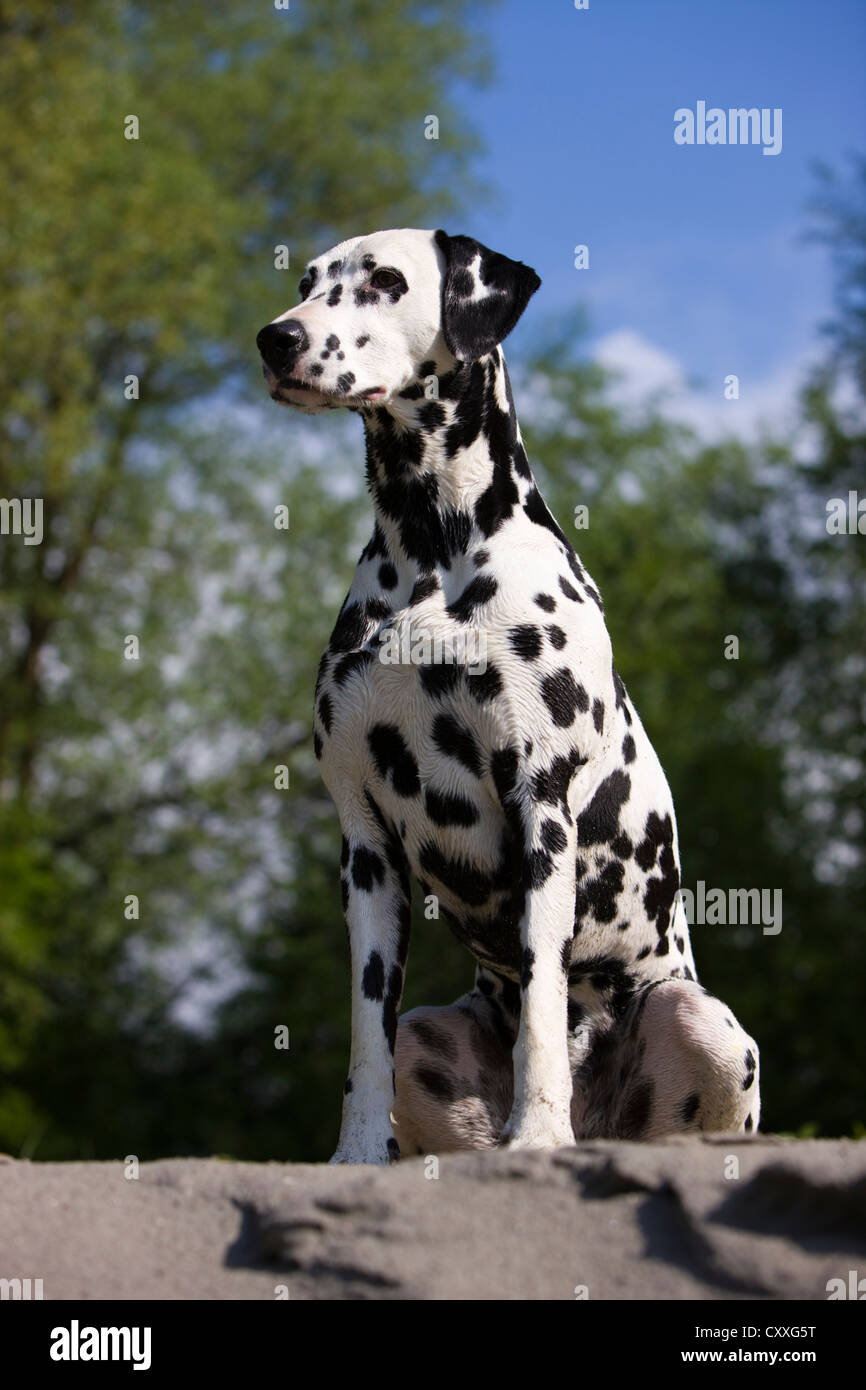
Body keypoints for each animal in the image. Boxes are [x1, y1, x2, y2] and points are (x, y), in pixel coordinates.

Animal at [255, 227, 756, 1162]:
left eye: (386, 281)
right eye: (306, 281)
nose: (278, 338)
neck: (431, 543)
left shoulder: (540, 813)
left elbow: (541, 1003)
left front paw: (538, 1132)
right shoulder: (364, 849)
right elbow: (365, 1041)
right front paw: (355, 1155)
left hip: (703, 1021)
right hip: (430, 1035)